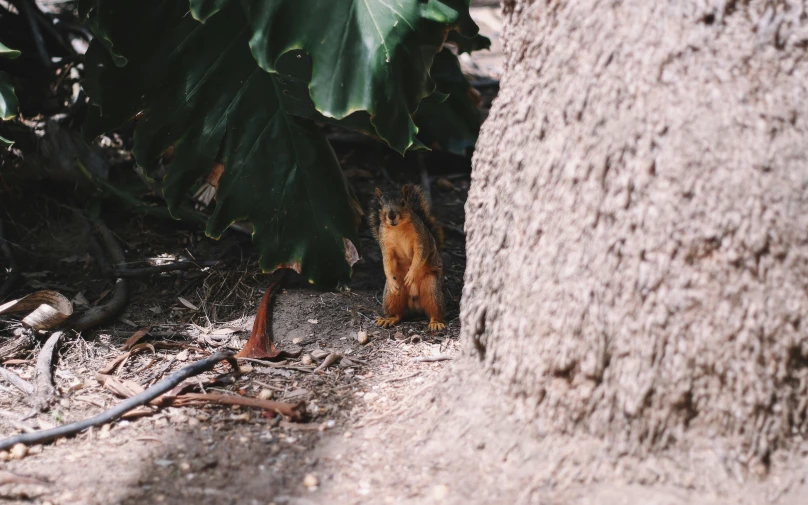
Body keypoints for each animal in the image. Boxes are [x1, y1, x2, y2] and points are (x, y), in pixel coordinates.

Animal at [370, 184, 446, 330]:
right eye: (380, 206)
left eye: (403, 203)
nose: (391, 215)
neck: (397, 228)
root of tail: (414, 303)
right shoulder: (386, 246)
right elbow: (387, 262)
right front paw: (390, 277)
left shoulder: (421, 240)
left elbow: (420, 256)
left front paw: (411, 274)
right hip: (393, 294)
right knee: (398, 313)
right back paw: (389, 319)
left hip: (431, 286)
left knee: (434, 309)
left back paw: (435, 322)